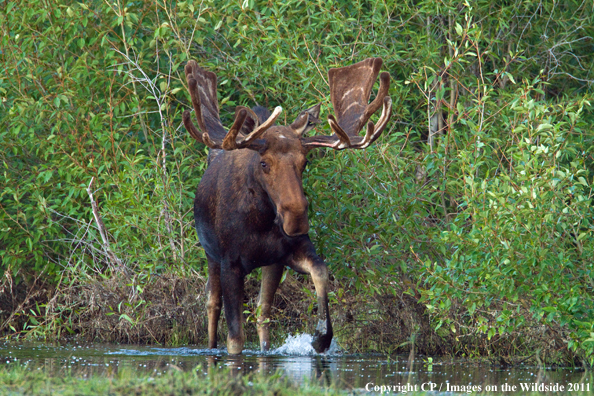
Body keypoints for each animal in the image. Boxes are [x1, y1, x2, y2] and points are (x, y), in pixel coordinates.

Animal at [180, 57, 394, 354]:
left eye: (305, 161)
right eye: (264, 163)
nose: (297, 218)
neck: (259, 221)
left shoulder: (287, 253)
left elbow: (320, 271)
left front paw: (321, 335)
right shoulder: (229, 262)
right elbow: (234, 338)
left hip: (270, 265)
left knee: (263, 312)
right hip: (210, 255)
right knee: (212, 304)